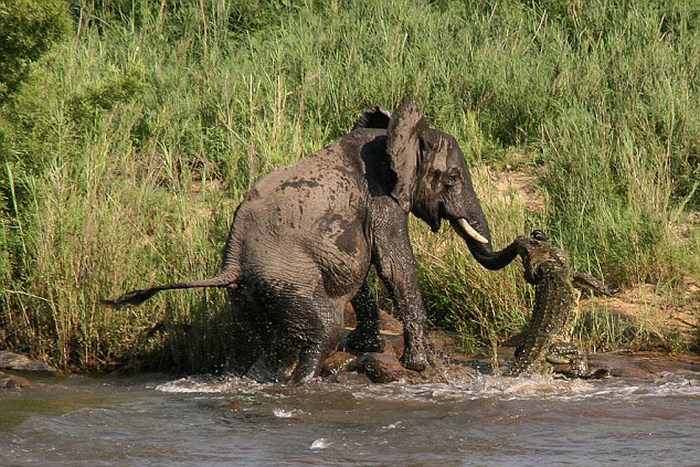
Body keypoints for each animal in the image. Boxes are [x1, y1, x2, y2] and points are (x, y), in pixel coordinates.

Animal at [106, 101, 524, 384]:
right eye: (452, 179)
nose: (529, 236)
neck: (392, 135)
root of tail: (231, 261)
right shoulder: (382, 200)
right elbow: (393, 265)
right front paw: (418, 364)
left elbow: (365, 272)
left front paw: (368, 349)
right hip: (290, 281)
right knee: (323, 330)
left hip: (250, 294)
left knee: (244, 344)